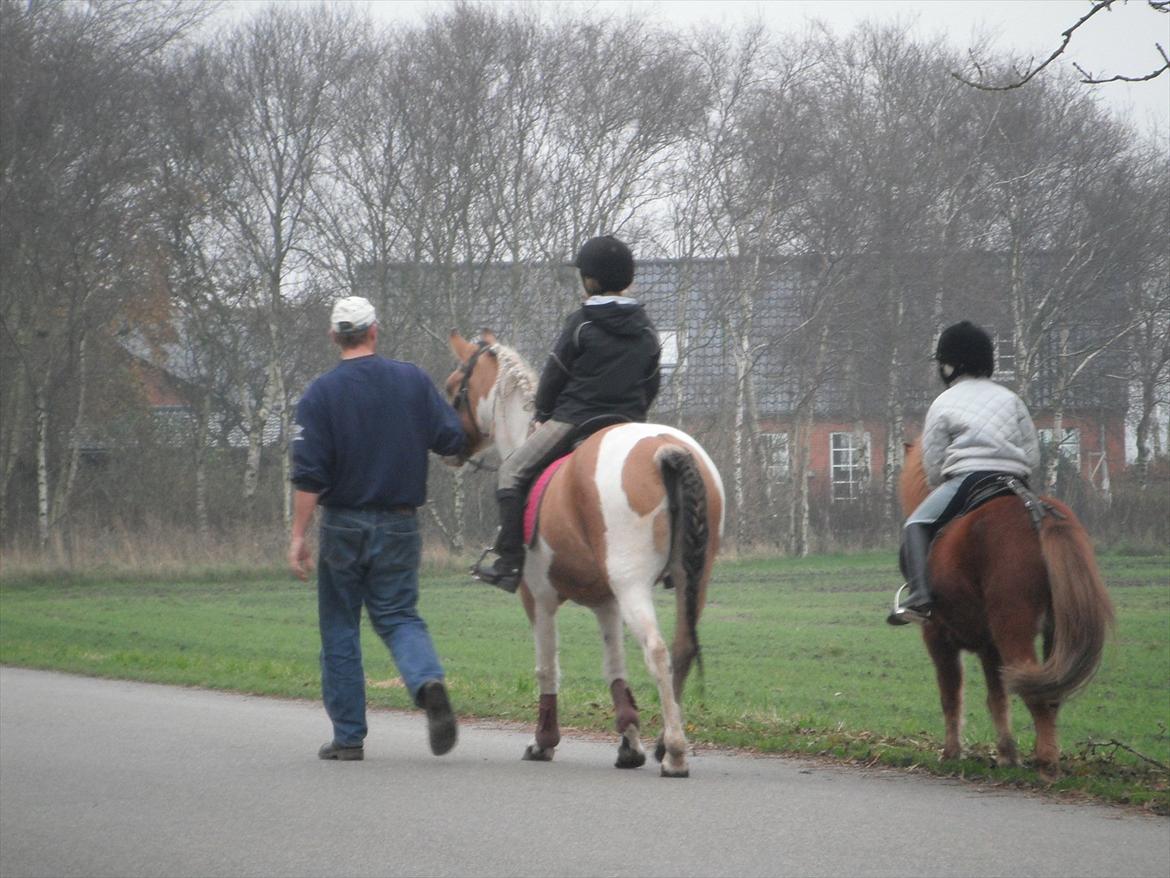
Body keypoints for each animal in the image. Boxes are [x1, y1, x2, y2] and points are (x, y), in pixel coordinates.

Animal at [446, 332, 720, 782]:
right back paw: (664, 744)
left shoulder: (537, 598)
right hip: (692, 581)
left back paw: (676, 753)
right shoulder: (606, 602)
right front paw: (629, 743)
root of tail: (666, 448)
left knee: (658, 651)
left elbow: (547, 667)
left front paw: (543, 741)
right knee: (681, 649)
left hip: (632, 586)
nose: (451, 448)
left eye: (455, 387)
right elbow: (615, 668)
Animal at [898, 440, 1109, 777]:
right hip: (1055, 635)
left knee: (1035, 692)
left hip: (1013, 630)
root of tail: (1037, 512)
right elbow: (997, 698)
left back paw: (1046, 761)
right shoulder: (989, 647)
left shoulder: (938, 638)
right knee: (1050, 693)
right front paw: (1007, 754)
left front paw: (952, 752)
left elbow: (950, 695)